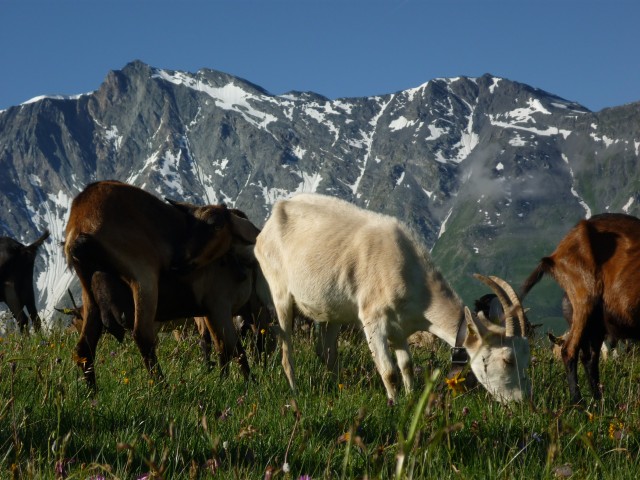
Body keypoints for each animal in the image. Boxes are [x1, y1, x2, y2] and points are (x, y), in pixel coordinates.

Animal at [66, 182, 262, 388]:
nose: (177, 262)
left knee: (84, 348)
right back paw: (162, 387)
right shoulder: (219, 307)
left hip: (89, 292)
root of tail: (82, 221)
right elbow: (234, 347)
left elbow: (228, 346)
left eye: (217, 226)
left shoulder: (213, 312)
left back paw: (93, 392)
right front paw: (248, 384)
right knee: (142, 335)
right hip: (144, 278)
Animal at [255, 193, 528, 404]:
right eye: (508, 359)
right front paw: (394, 405)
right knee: (286, 345)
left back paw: (337, 387)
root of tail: (270, 221)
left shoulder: (400, 327)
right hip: (279, 289)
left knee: (326, 351)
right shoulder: (373, 320)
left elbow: (406, 366)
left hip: (334, 310)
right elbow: (389, 372)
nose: (521, 402)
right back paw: (294, 389)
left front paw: (410, 398)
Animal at [524, 212, 640, 404]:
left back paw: (598, 401)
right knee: (570, 350)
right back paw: (578, 402)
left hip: (597, 320)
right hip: (584, 298)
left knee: (590, 357)